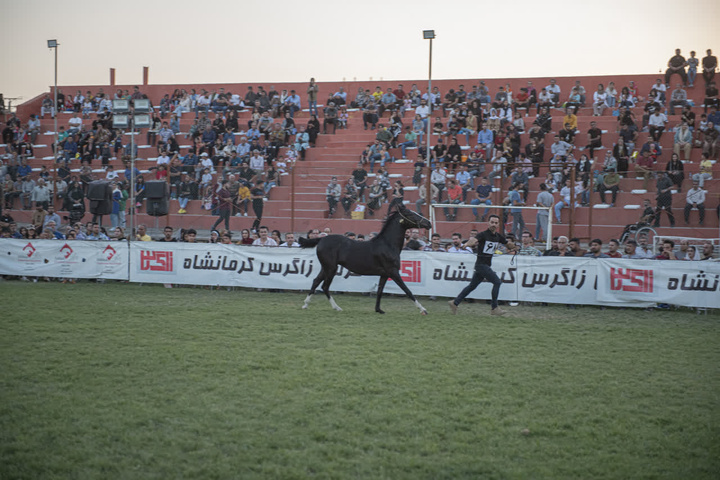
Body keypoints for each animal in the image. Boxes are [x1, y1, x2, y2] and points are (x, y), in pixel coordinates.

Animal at [300, 204, 434, 314]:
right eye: (410, 214)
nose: (429, 223)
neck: (388, 245)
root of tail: (321, 239)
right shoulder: (393, 272)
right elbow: (407, 290)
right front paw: (423, 309)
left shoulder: (384, 274)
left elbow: (380, 291)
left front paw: (379, 309)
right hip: (331, 268)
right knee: (325, 286)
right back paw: (336, 307)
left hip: (326, 267)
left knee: (316, 281)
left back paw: (305, 305)